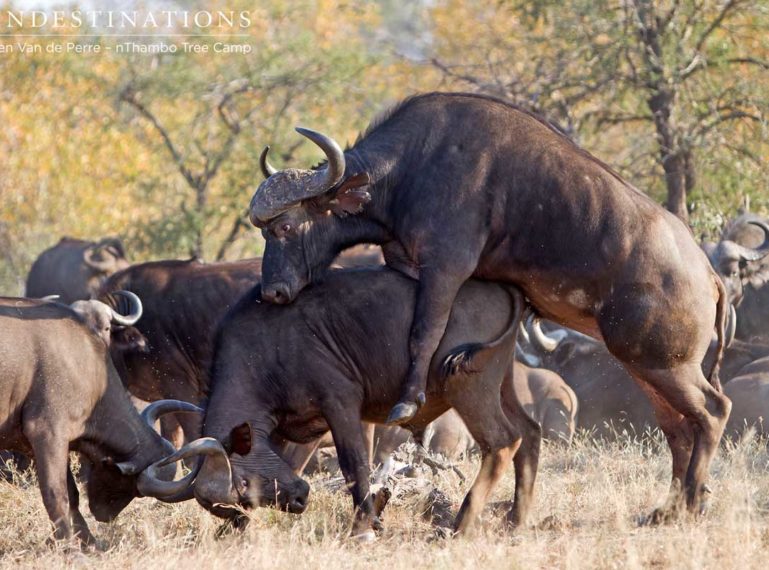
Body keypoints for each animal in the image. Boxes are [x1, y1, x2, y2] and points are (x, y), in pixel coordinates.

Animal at [0, 292, 201, 540]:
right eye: (133, 486)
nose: (105, 515)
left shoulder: (51, 443)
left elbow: (72, 495)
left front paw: (88, 540)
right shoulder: (47, 435)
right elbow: (56, 495)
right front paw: (67, 542)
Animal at [152, 268, 540, 536]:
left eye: (243, 485)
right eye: (241, 501)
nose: (299, 501)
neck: (266, 349)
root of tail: (508, 289)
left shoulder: (341, 405)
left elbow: (355, 465)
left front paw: (364, 526)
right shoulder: (298, 430)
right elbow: (295, 465)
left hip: (468, 385)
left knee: (502, 441)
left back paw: (460, 525)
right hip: (502, 381)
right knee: (530, 431)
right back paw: (515, 521)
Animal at [250, 92, 732, 520]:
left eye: (286, 226)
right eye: (262, 230)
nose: (272, 292)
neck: (411, 169)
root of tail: (706, 273)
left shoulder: (446, 268)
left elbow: (425, 331)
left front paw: (408, 402)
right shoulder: (410, 266)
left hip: (664, 365)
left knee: (712, 412)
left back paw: (691, 503)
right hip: (644, 367)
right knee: (678, 429)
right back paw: (667, 509)